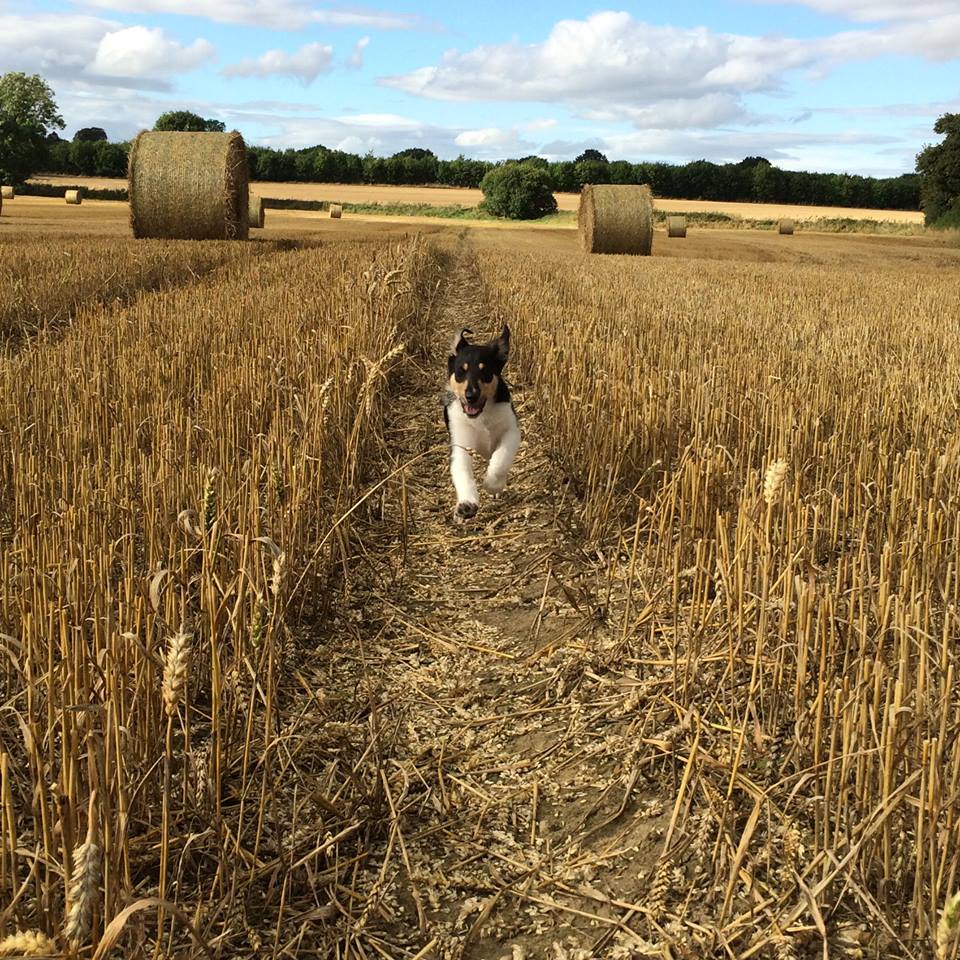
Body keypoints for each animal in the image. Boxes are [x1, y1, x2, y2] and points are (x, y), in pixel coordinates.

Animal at [444, 326, 520, 520]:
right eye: (461, 371)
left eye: (484, 371)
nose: (471, 396)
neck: (481, 416)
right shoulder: (459, 444)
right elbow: (462, 471)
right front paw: (466, 504)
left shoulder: (512, 431)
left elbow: (501, 458)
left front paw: (493, 485)